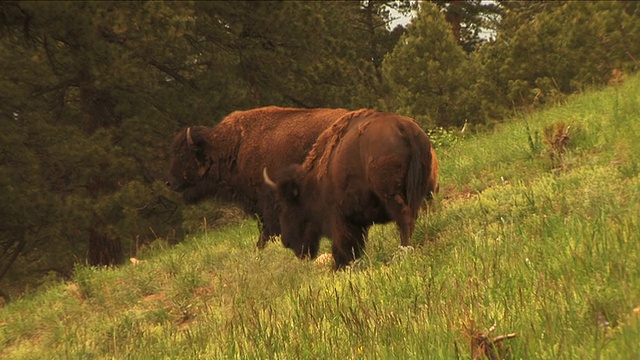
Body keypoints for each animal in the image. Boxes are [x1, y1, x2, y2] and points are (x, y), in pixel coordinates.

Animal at [262, 108, 438, 268]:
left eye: (286, 205)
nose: (287, 242)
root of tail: (403, 127)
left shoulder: (339, 217)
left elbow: (344, 244)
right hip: (425, 191)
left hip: (390, 194)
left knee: (404, 217)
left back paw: (403, 250)